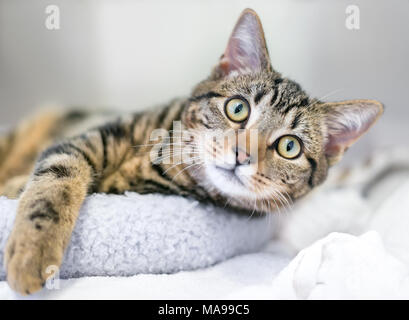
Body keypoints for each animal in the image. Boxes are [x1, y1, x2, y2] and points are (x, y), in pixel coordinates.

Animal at [0, 8, 382, 296]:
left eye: (290, 146)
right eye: (238, 109)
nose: (242, 155)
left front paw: (29, 248)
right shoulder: (87, 139)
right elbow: (55, 183)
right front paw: (33, 252)